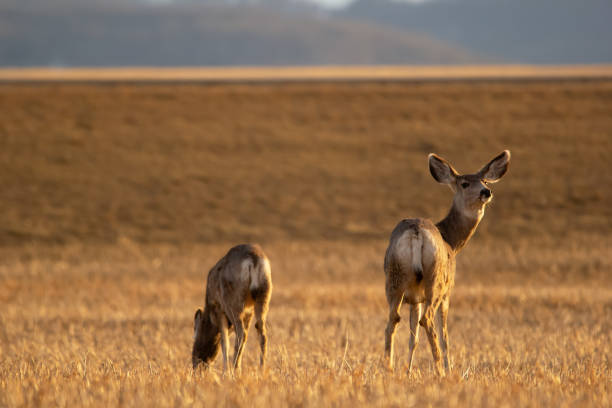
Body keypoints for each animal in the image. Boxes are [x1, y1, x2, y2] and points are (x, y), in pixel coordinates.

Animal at [192, 242, 272, 372]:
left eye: (195, 343)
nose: (195, 366)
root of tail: (253, 260)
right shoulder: (248, 312)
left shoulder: (219, 309)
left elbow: (224, 342)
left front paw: (226, 371)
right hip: (263, 296)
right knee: (261, 332)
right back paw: (261, 369)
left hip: (232, 302)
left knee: (241, 333)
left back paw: (235, 369)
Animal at [382, 150, 512, 376]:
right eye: (465, 184)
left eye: (485, 180)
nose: (486, 192)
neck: (451, 240)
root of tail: (416, 232)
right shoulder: (448, 292)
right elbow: (445, 337)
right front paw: (449, 369)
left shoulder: (414, 299)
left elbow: (413, 339)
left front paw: (408, 371)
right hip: (435, 281)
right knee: (428, 321)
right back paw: (440, 372)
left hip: (394, 279)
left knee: (392, 320)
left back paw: (388, 368)